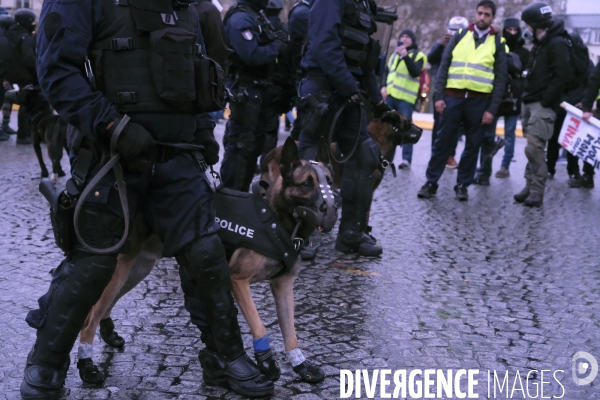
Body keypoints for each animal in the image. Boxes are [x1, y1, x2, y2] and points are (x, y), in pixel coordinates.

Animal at [78, 138, 338, 388]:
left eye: (330, 182)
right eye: (306, 184)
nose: (332, 213)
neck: (275, 218)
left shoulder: (283, 287)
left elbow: (290, 332)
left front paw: (301, 365)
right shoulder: (237, 280)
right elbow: (260, 325)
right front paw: (266, 362)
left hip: (137, 270)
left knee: (105, 303)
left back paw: (108, 333)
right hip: (121, 270)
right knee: (90, 315)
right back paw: (87, 363)